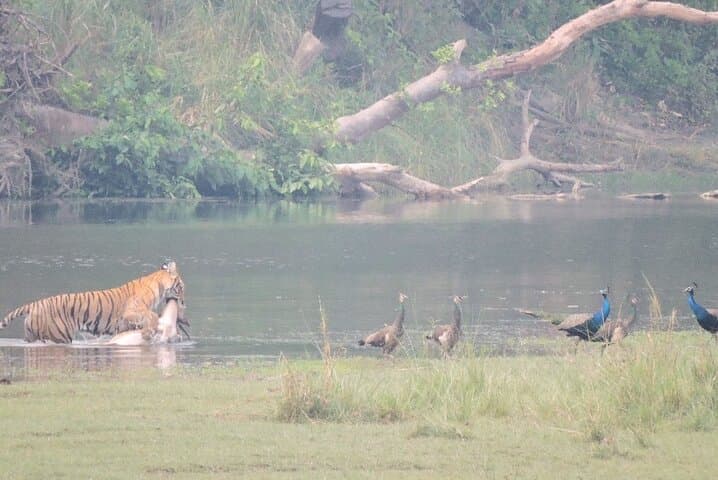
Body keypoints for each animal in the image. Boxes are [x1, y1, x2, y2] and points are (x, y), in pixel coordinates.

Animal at [0, 261, 185, 343]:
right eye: (182, 287)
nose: (183, 302)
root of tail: (34, 304)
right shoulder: (131, 312)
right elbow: (152, 315)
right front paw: (148, 333)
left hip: (32, 335)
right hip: (60, 335)